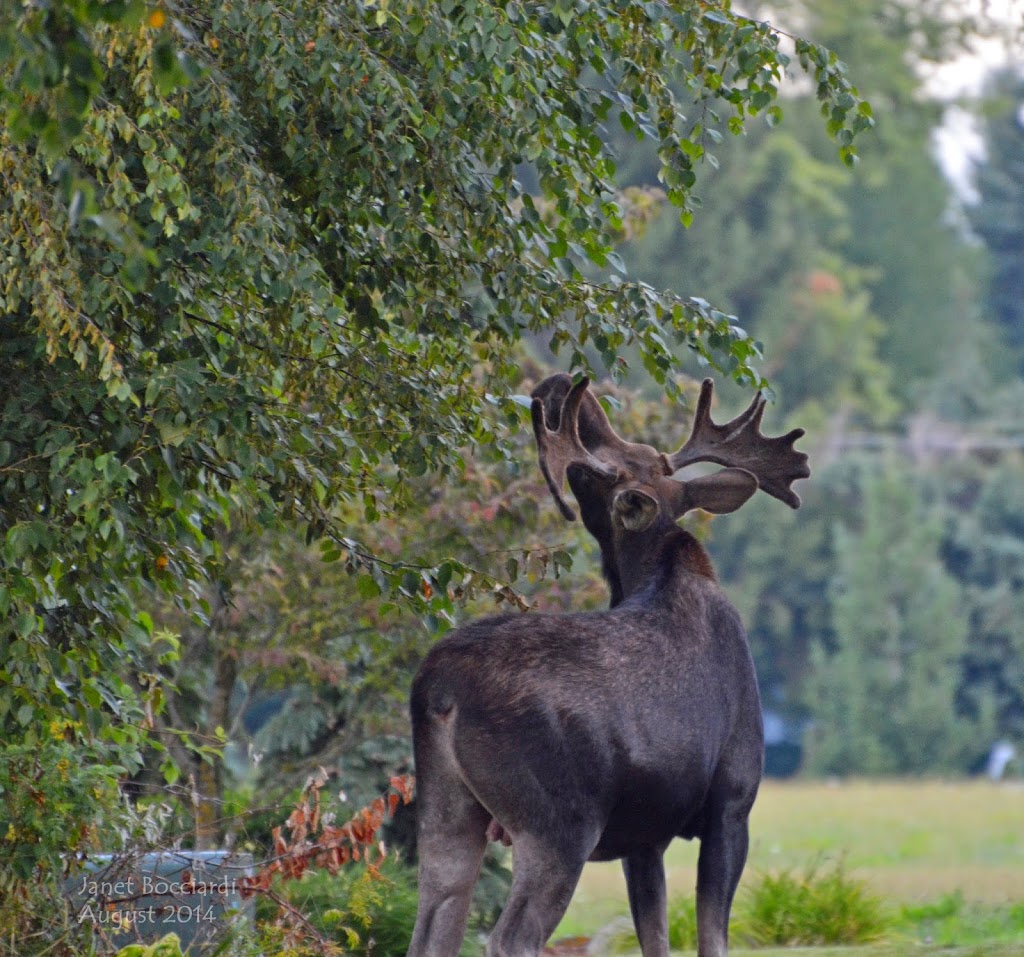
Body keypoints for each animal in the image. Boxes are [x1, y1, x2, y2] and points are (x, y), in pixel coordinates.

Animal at [405, 376, 806, 957]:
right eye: (601, 467)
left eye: (615, 460)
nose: (560, 387)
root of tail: (438, 690)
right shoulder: (733, 801)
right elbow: (712, 937)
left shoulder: (645, 837)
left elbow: (656, 937)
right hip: (559, 822)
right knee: (511, 937)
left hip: (446, 811)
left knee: (433, 927)